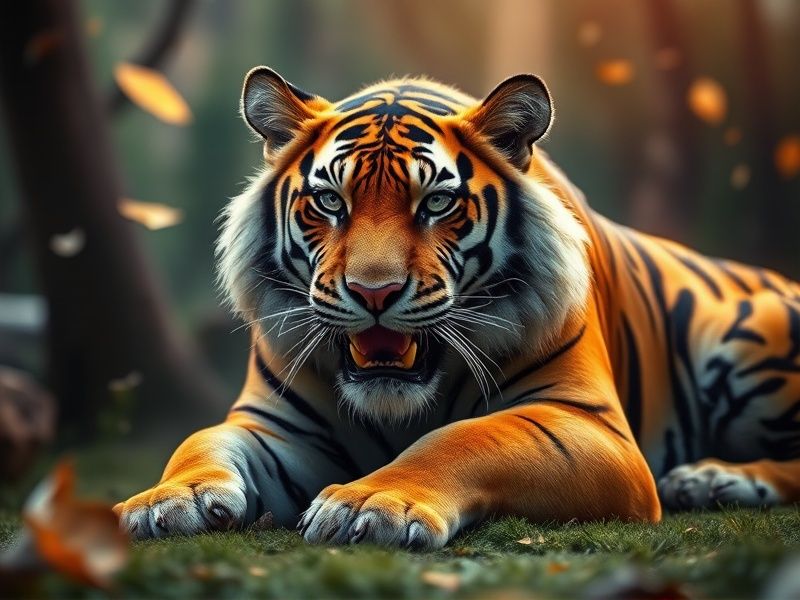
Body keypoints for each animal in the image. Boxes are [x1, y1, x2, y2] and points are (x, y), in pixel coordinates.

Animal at [115, 67, 800, 549]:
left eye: (437, 203)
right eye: (331, 201)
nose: (373, 292)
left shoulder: (589, 424)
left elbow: (462, 438)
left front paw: (369, 505)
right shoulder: (276, 425)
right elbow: (201, 441)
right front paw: (164, 502)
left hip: (747, 334)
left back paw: (715, 479)